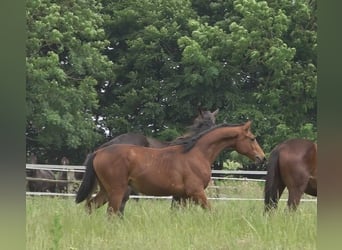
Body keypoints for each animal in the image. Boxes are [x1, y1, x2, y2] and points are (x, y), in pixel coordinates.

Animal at [76, 120, 266, 216]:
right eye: (252, 138)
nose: (262, 157)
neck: (197, 153)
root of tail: (99, 151)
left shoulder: (182, 196)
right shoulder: (196, 192)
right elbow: (211, 211)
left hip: (106, 190)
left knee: (90, 206)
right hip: (117, 190)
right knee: (111, 213)